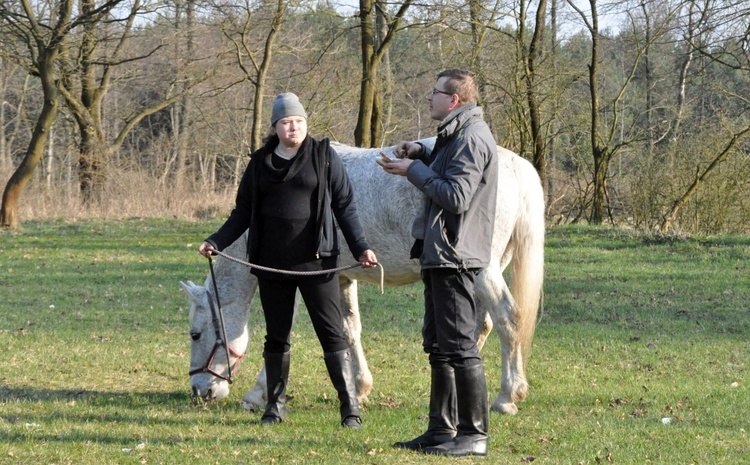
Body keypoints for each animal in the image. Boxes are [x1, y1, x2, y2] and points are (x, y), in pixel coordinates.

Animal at [182, 137, 548, 414]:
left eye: (195, 335)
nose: (199, 391)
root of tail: (515, 166)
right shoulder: (342, 278)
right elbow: (349, 329)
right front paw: (358, 388)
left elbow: (284, 331)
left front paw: (258, 395)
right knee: (481, 326)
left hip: (485, 271)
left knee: (507, 320)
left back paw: (507, 397)